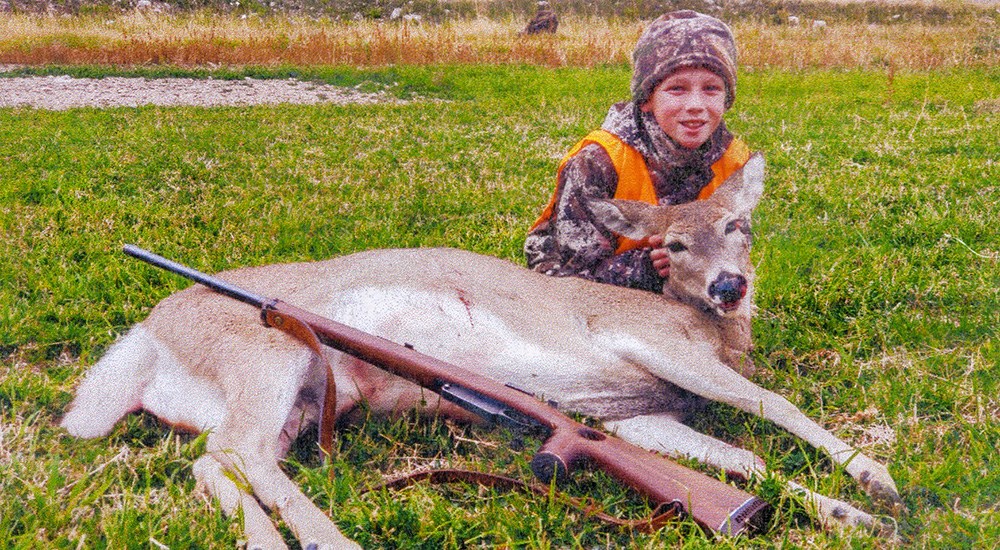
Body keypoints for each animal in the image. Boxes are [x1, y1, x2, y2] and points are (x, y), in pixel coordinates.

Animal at [62, 153, 908, 548]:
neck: (711, 333)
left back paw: (273, 538)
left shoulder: (627, 417)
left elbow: (744, 462)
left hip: (297, 397)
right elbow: (768, 405)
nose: (731, 285)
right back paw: (333, 539)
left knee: (218, 460)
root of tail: (145, 334)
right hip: (268, 352)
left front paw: (852, 516)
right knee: (236, 451)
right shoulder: (648, 345)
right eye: (672, 243)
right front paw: (880, 479)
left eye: (739, 225)